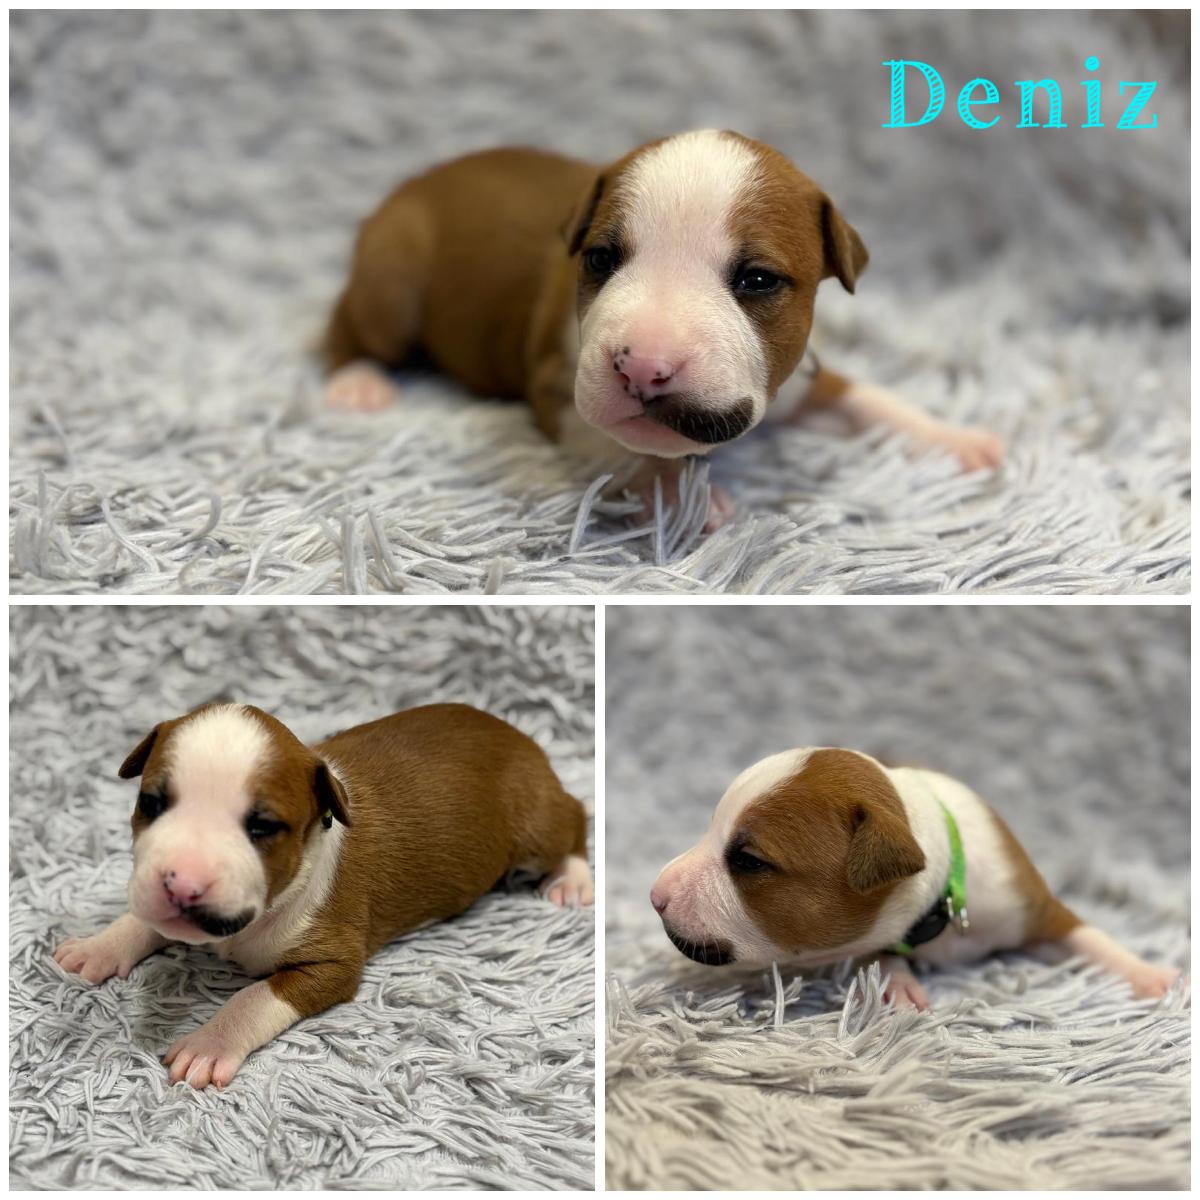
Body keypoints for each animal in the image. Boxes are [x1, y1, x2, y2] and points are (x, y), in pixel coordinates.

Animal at [53, 702, 592, 1089]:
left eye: (262, 827)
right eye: (151, 803)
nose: (182, 883)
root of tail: (518, 735)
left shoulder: (332, 964)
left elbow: (254, 996)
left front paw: (209, 1043)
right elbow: (142, 921)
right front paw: (97, 947)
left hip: (535, 826)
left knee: (575, 819)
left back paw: (574, 880)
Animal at [321, 130, 1003, 530]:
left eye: (758, 279)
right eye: (600, 259)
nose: (643, 367)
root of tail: (414, 180)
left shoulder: (802, 377)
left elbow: (872, 400)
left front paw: (955, 439)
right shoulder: (558, 390)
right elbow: (623, 449)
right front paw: (679, 492)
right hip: (392, 281)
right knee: (343, 329)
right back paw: (358, 382)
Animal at [650, 747, 1181, 1007]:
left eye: (749, 861)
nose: (655, 895)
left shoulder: (1029, 903)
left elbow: (1087, 935)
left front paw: (1149, 974)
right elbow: (877, 949)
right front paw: (896, 983)